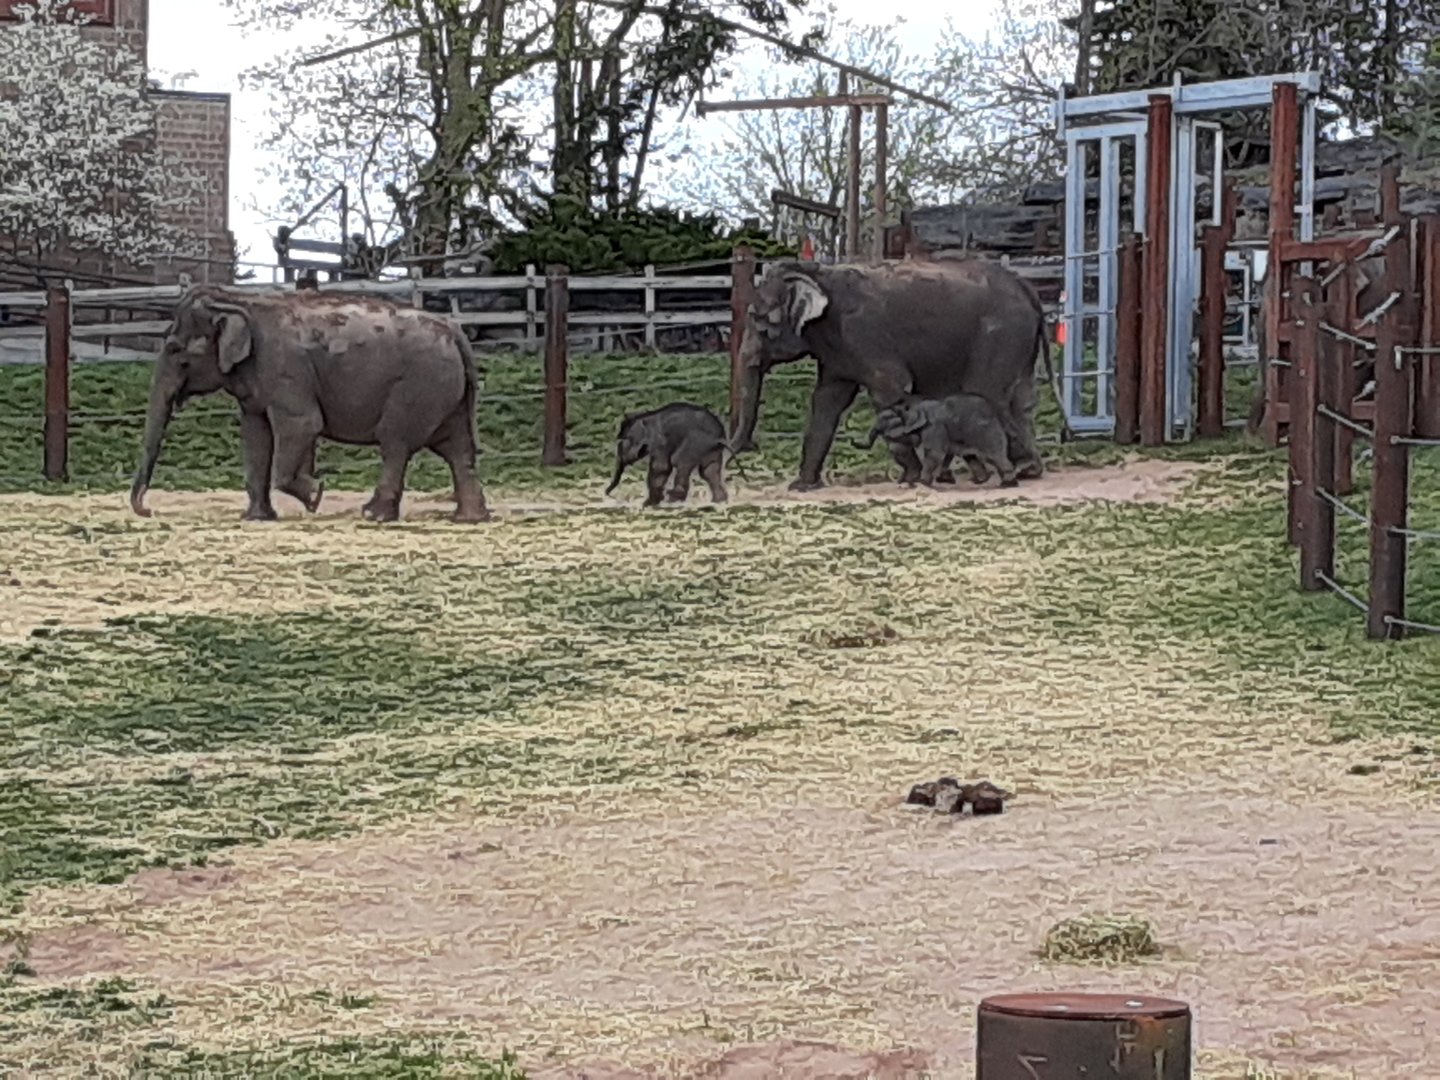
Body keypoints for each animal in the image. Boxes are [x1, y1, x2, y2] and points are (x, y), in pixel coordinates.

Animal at [130, 286, 491, 524]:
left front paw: (316, 495)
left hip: (417, 387)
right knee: (458, 449)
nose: (148, 510)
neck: (240, 301)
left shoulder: (286, 369)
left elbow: (303, 425)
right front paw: (256, 517)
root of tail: (456, 332)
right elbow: (256, 436)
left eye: (174, 350)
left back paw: (372, 515)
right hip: (446, 393)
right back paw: (469, 518)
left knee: (395, 443)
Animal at [858, 393, 1019, 488]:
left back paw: (1008, 484)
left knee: (994, 456)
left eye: (888, 425)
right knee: (972, 456)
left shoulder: (934, 426)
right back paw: (981, 481)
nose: (855, 442)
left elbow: (935, 453)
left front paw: (923, 483)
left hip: (987, 433)